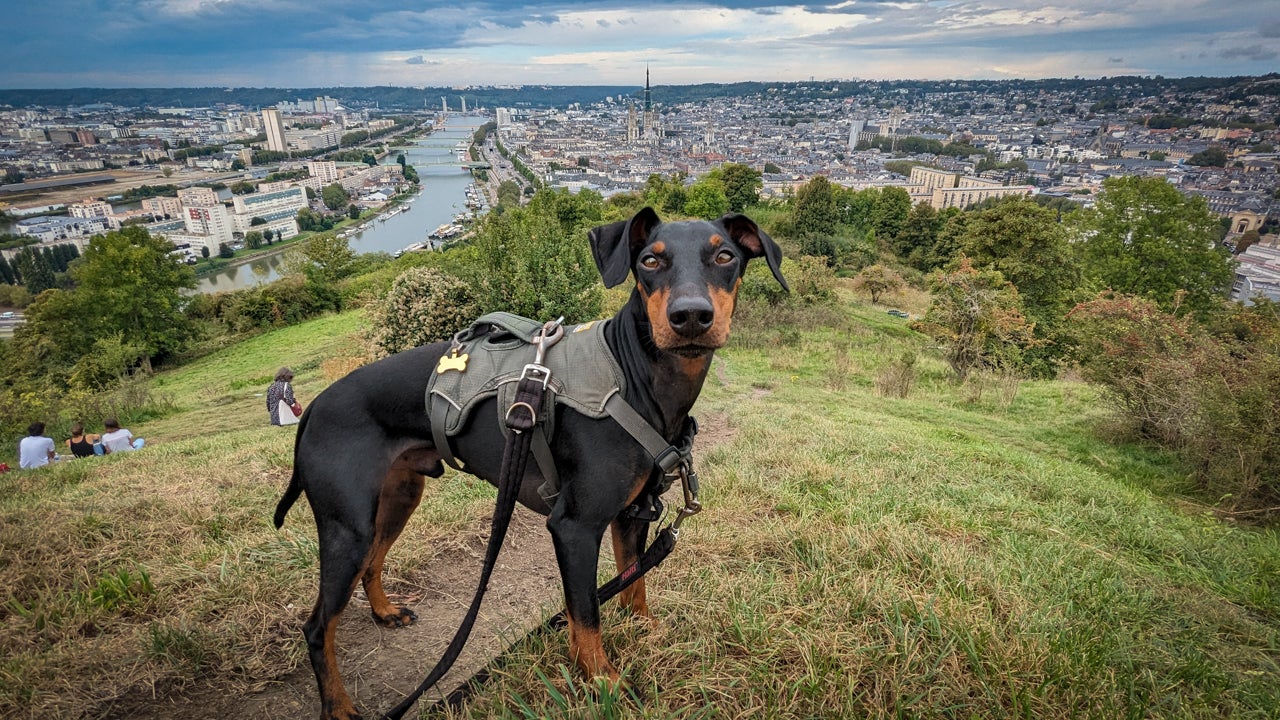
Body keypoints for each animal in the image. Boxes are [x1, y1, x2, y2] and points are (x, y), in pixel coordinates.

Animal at [275, 204, 783, 712]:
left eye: (724, 256)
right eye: (650, 262)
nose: (691, 316)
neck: (633, 377)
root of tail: (314, 408)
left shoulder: (633, 515)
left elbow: (632, 585)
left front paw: (645, 633)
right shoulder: (574, 528)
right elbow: (586, 614)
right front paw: (603, 683)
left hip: (397, 499)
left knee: (372, 565)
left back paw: (384, 612)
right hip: (348, 529)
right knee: (318, 627)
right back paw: (340, 707)